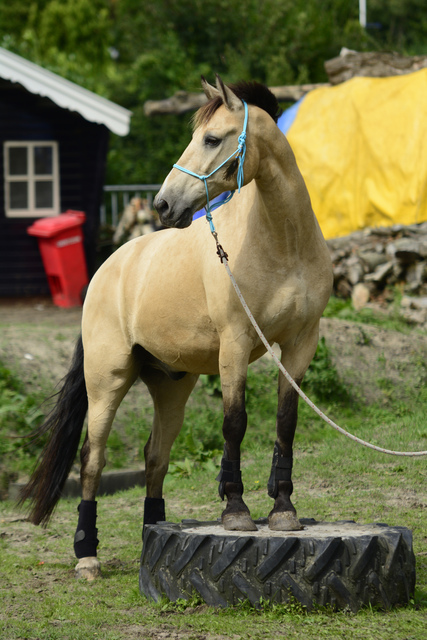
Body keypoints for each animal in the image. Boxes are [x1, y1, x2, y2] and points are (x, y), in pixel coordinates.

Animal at [20, 75, 334, 580]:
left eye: (211, 139)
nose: (164, 204)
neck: (283, 242)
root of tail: (107, 269)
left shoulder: (301, 345)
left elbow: (286, 423)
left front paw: (284, 509)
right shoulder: (235, 345)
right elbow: (235, 423)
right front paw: (236, 510)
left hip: (171, 387)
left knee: (156, 457)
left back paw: (154, 530)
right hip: (106, 381)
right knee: (92, 459)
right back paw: (86, 554)